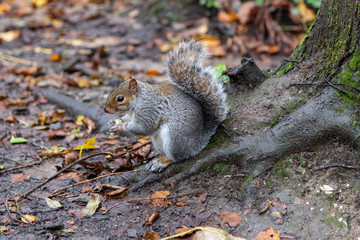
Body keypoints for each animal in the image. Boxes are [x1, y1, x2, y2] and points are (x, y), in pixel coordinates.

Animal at [104, 39, 228, 172]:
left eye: (120, 98)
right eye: (112, 90)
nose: (105, 110)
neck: (139, 101)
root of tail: (199, 141)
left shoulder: (149, 110)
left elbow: (144, 128)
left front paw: (120, 126)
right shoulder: (132, 114)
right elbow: (127, 119)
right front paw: (114, 121)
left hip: (174, 137)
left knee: (176, 157)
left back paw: (162, 162)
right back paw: (159, 159)